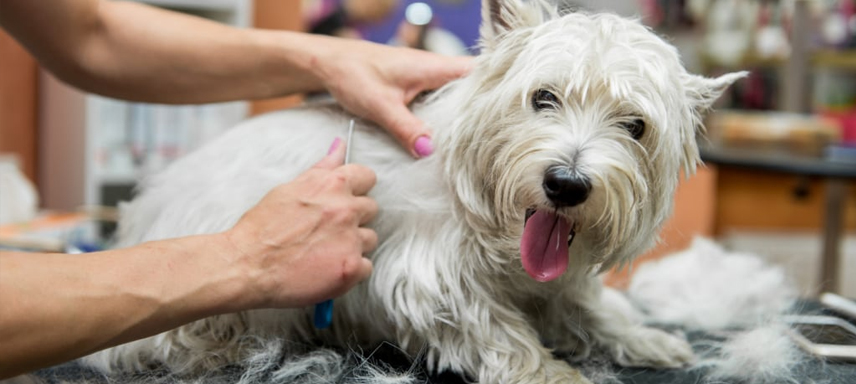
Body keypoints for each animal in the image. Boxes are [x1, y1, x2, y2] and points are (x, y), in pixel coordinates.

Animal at [85, 1, 744, 382]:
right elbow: (498, 331)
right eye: (543, 97)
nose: (566, 184)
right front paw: (554, 374)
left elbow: (591, 306)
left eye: (635, 126)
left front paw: (647, 338)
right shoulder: (430, 276)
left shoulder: (557, 280)